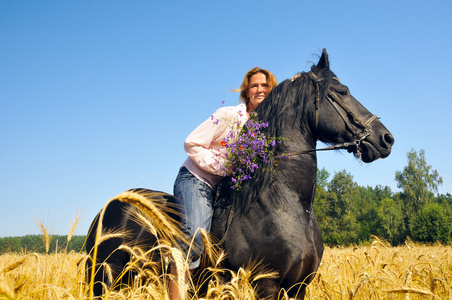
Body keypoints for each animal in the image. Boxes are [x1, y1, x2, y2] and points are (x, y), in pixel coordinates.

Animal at [85, 49, 396, 298]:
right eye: (342, 92)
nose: (386, 139)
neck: (286, 204)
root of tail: (108, 207)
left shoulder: (298, 287)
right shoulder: (266, 284)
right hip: (105, 281)